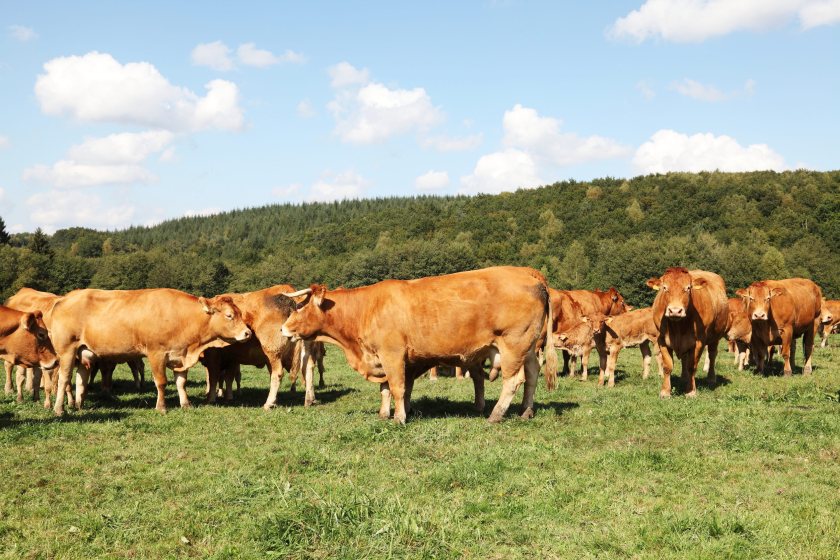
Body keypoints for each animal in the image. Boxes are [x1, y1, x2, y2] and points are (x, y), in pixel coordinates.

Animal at [47, 288, 252, 415]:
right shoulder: (156, 353)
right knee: (63, 379)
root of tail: (65, 298)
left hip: (84, 353)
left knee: (80, 379)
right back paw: (59, 409)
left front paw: (185, 404)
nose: (248, 333)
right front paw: (161, 407)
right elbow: (161, 382)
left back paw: (79, 405)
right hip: (66, 351)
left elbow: (181, 382)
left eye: (240, 313)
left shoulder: (180, 356)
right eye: (229, 315)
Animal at [279, 266, 558, 424]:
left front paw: (399, 418)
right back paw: (526, 411)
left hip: (513, 344)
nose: (282, 329)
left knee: (513, 381)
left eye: (301, 307)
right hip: (529, 347)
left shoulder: (392, 354)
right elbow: (386, 389)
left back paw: (496, 415)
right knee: (532, 375)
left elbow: (397, 388)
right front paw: (385, 414)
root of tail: (531, 275)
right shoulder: (382, 357)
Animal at [646, 268, 729, 398]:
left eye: (688, 288)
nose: (675, 311)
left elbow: (692, 366)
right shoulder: (662, 340)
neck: (678, 327)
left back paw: (711, 378)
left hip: (715, 337)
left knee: (712, 355)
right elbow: (668, 366)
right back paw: (684, 377)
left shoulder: (699, 342)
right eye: (664, 287)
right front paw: (665, 391)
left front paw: (690, 391)